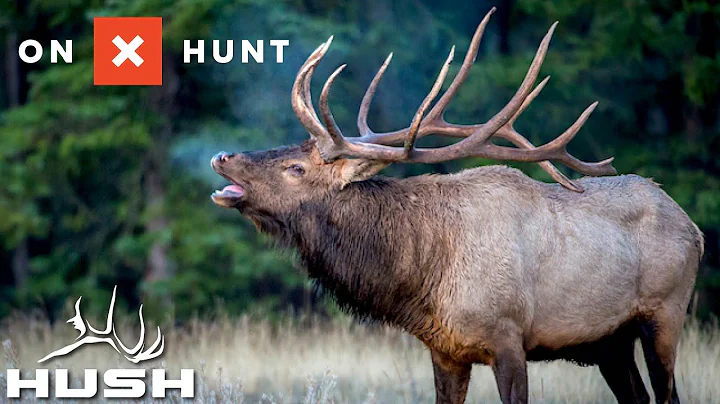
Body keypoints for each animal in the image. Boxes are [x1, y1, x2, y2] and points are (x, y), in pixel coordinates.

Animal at [210, 8, 702, 404]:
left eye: (295, 167)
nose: (222, 156)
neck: (423, 275)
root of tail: (693, 229)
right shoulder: (445, 350)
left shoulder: (509, 336)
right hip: (610, 343)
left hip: (665, 315)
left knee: (668, 393)